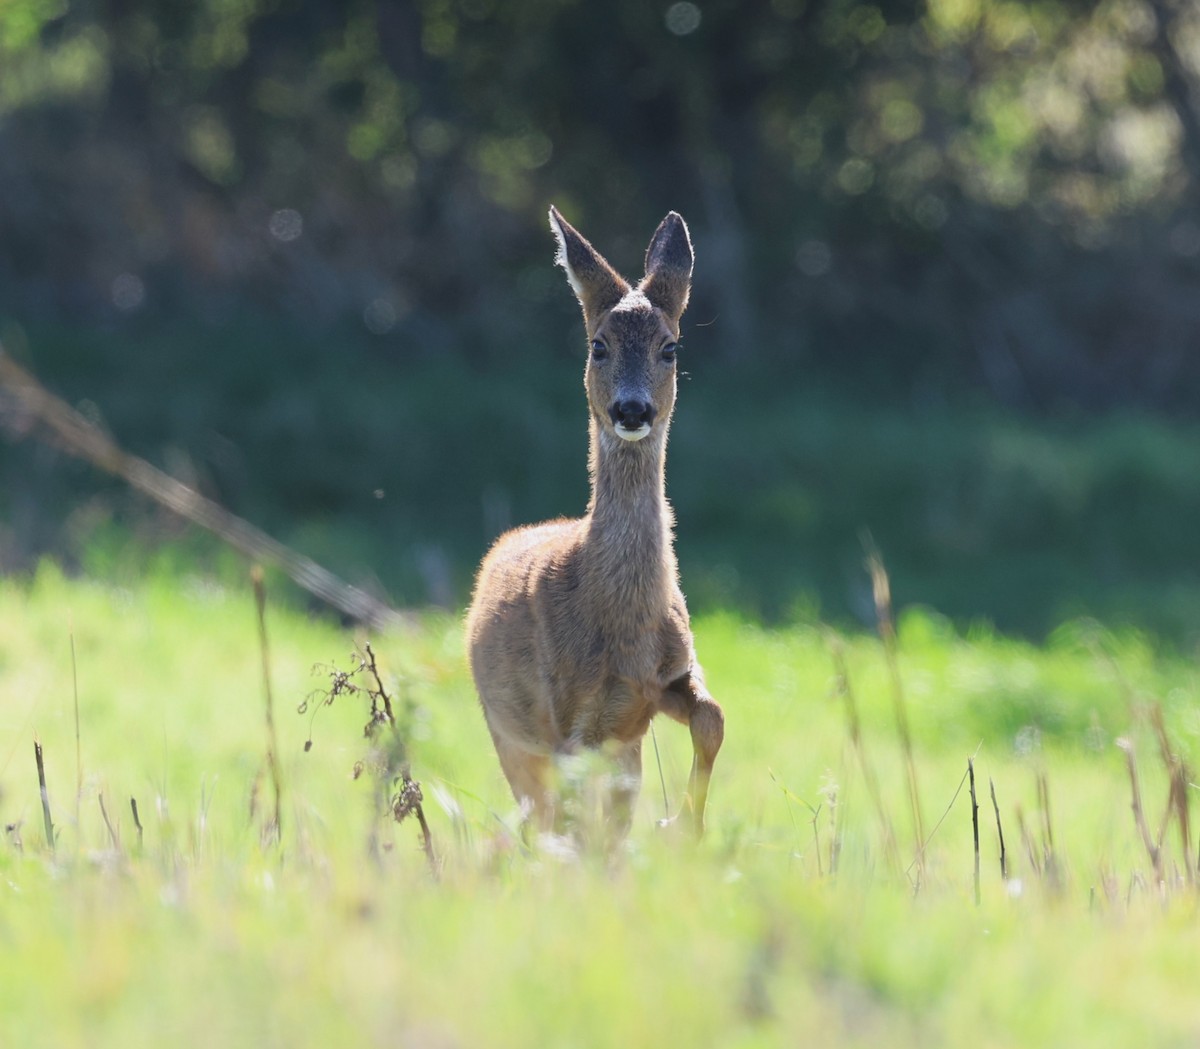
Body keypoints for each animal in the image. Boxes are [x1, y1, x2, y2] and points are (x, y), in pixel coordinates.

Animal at [465, 205, 724, 842]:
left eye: (670, 347)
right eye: (598, 345)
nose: (631, 409)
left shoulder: (660, 684)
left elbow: (713, 718)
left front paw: (686, 822)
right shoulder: (567, 717)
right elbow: (578, 822)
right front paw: (679, 822)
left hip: (613, 746)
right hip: (506, 730)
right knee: (546, 816)